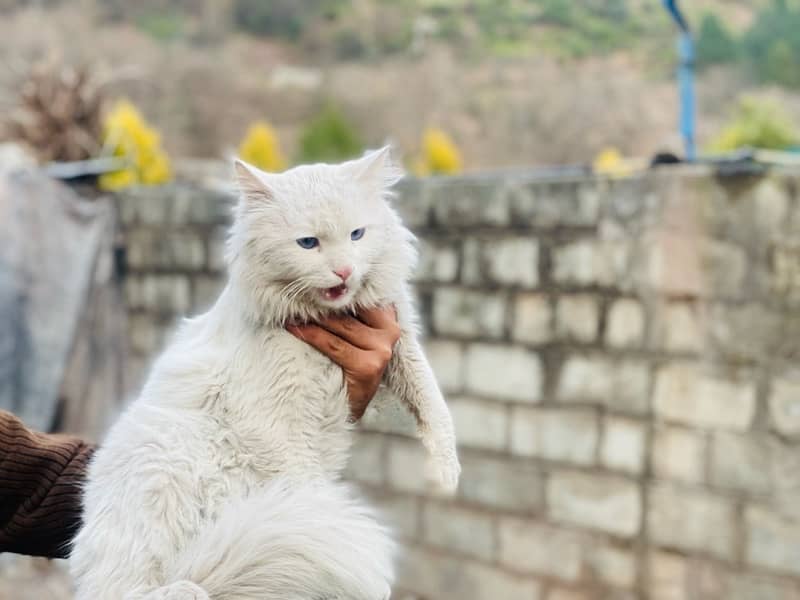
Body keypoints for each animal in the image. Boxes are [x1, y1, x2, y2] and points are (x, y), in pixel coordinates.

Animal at [69, 149, 462, 600]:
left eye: (357, 235)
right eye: (308, 243)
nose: (344, 271)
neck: (325, 314)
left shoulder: (400, 340)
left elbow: (433, 402)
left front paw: (447, 473)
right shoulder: (278, 425)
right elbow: (308, 489)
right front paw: (325, 523)